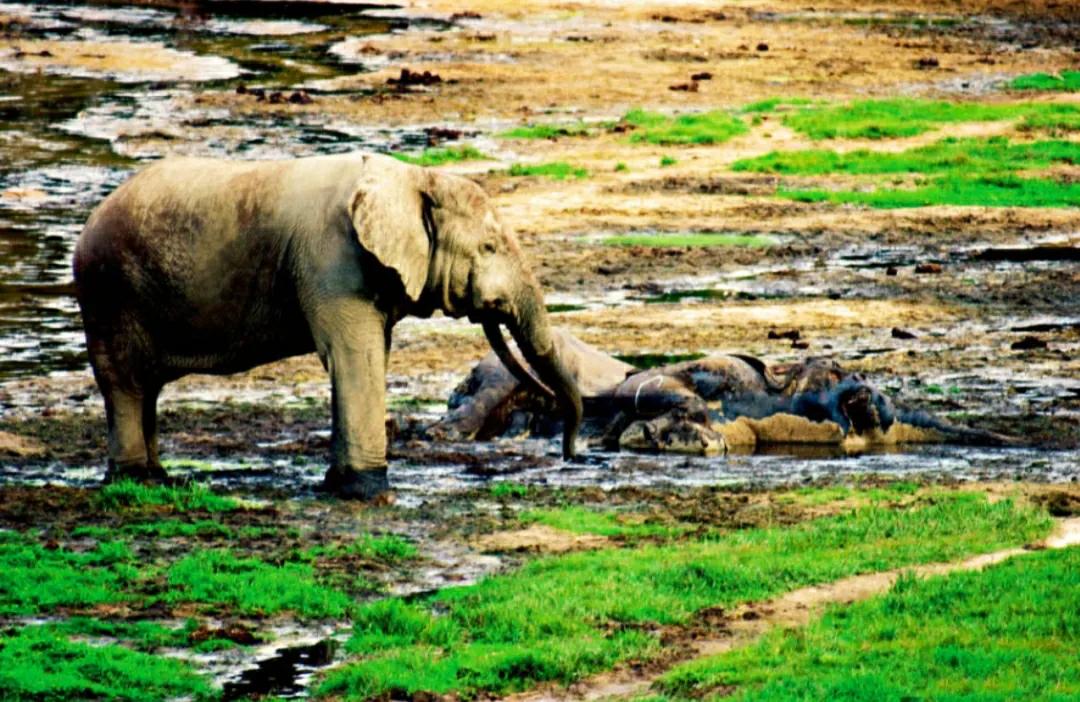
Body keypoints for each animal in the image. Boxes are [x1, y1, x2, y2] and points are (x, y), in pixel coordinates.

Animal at [72, 151, 583, 496]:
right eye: (489, 248)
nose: (569, 455)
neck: (411, 176)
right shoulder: (330, 260)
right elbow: (354, 357)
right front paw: (365, 489)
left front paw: (339, 483)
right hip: (108, 294)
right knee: (125, 382)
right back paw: (135, 479)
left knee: (146, 388)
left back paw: (156, 476)